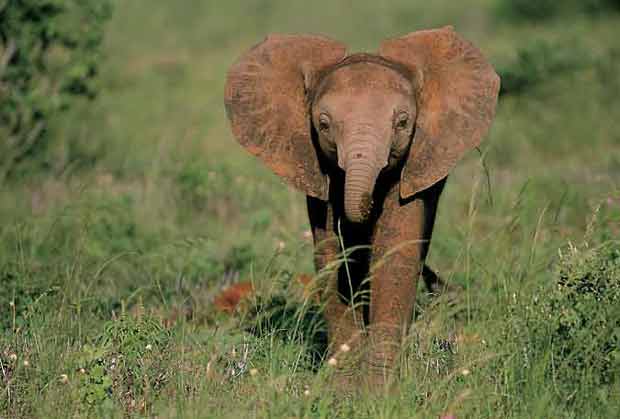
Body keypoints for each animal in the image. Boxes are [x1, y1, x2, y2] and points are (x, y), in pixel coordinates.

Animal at [225, 25, 502, 388]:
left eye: (403, 122)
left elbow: (395, 252)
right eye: (323, 124)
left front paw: (378, 391)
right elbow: (331, 255)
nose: (368, 204)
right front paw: (343, 388)